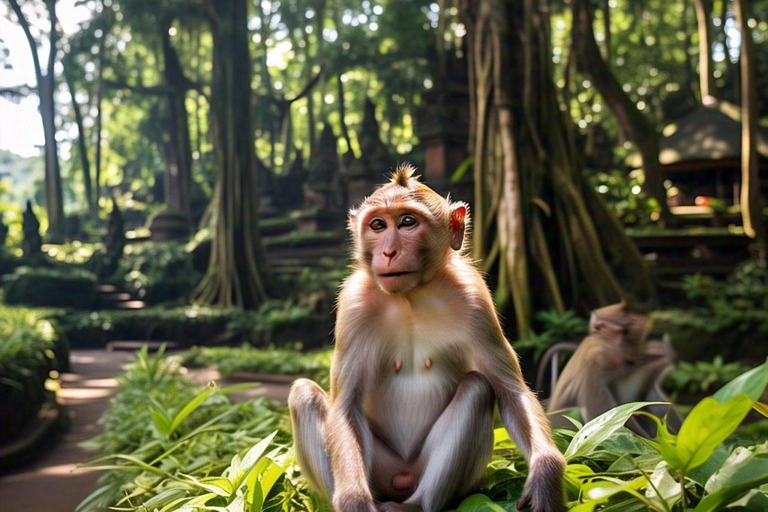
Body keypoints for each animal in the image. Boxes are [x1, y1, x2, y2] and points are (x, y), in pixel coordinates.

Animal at [289, 164, 566, 512]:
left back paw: (416, 505)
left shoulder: (475, 298)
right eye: (378, 225)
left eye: (408, 222)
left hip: (421, 472)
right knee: (304, 395)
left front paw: (546, 473)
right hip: (381, 472)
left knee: (478, 388)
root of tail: (402, 480)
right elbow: (346, 407)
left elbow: (511, 391)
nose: (388, 252)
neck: (411, 295)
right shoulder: (353, 305)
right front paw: (354, 500)